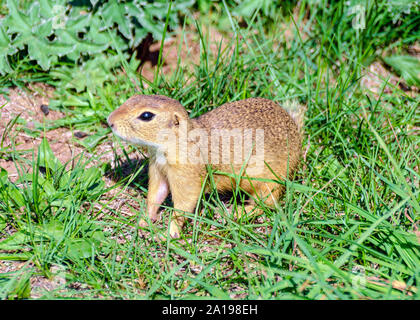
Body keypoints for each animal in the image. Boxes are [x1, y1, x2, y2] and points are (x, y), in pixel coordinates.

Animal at [107, 95, 306, 238]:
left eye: (146, 115)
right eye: (132, 98)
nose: (109, 121)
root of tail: (296, 133)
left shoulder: (186, 175)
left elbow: (184, 204)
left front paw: (171, 232)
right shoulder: (158, 169)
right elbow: (156, 195)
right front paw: (144, 220)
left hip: (269, 182)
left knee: (267, 203)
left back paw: (239, 213)